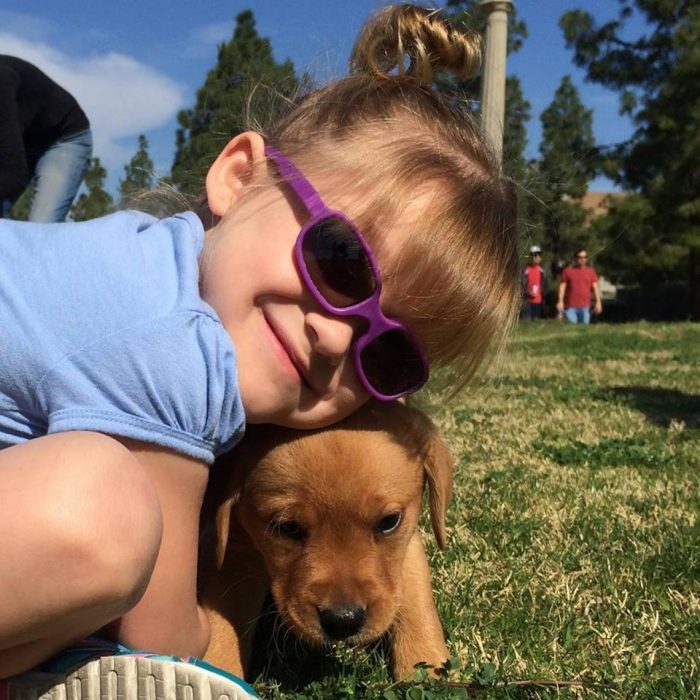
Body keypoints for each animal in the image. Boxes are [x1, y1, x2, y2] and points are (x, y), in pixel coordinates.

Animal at [202, 402, 454, 680]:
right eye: (288, 527)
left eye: (389, 521)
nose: (344, 621)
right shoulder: (235, 547)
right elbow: (222, 620)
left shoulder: (407, 539)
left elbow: (416, 595)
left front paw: (429, 665)